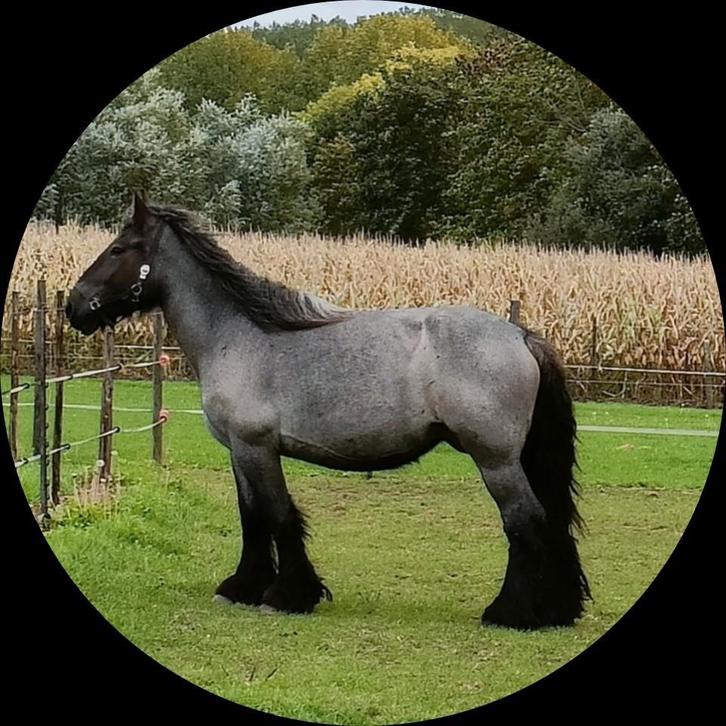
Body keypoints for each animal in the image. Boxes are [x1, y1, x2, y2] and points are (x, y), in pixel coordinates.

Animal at [65, 193, 590, 630]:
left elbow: (278, 515)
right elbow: (251, 516)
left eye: (119, 249)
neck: (239, 337)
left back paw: (511, 613)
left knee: (524, 522)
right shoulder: (238, 451)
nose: (74, 306)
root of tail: (520, 335)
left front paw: (288, 595)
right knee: (549, 521)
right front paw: (242, 587)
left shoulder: (257, 447)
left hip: (495, 460)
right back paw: (558, 610)